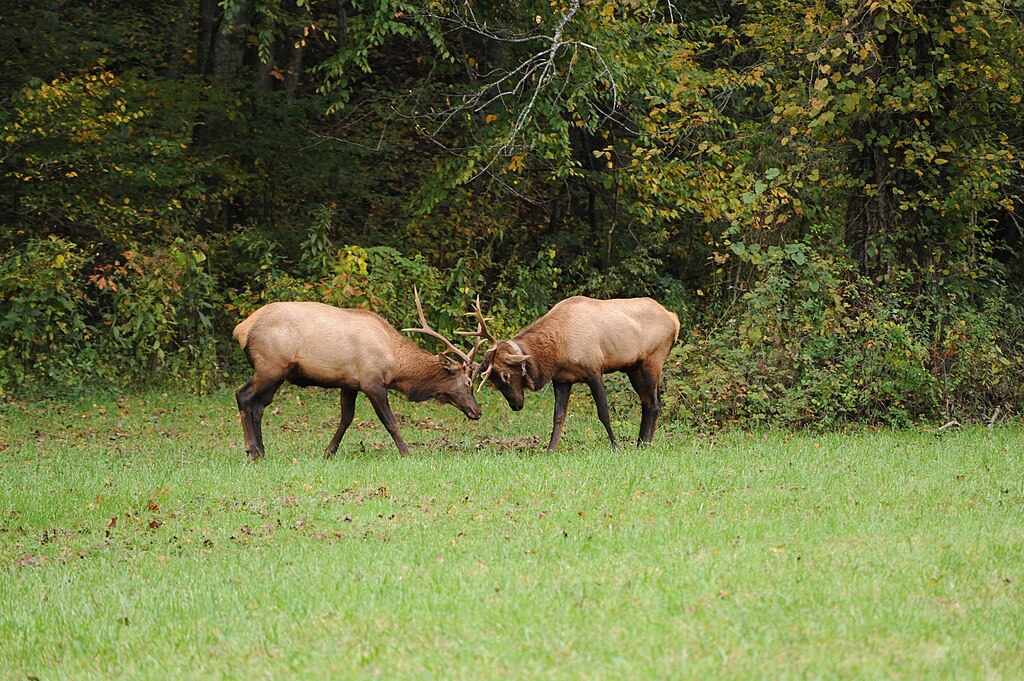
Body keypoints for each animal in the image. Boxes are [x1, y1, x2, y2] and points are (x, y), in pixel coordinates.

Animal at [232, 289, 485, 460]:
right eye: (468, 382)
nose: (477, 412)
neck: (395, 365)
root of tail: (241, 330)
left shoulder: (349, 383)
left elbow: (346, 418)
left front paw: (328, 451)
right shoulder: (372, 381)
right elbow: (389, 421)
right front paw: (406, 452)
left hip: (277, 373)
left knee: (259, 406)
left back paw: (262, 450)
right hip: (270, 366)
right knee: (243, 396)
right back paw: (252, 450)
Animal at [469, 296, 680, 451]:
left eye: (504, 375)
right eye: (493, 381)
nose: (516, 405)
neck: (557, 352)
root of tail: (674, 319)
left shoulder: (594, 370)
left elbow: (603, 413)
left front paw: (617, 446)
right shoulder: (562, 380)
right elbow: (558, 416)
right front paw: (550, 449)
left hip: (653, 360)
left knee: (654, 404)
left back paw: (645, 444)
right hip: (633, 367)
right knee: (647, 401)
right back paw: (640, 443)